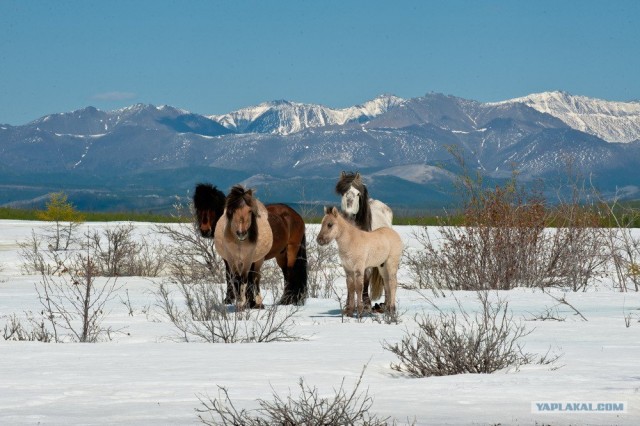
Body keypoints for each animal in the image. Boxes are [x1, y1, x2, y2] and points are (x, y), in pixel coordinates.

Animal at [338, 171, 392, 312]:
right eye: (343, 193)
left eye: (358, 194)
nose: (349, 215)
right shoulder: (346, 261)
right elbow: (349, 282)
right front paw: (348, 305)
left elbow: (365, 280)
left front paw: (366, 304)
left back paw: (385, 305)